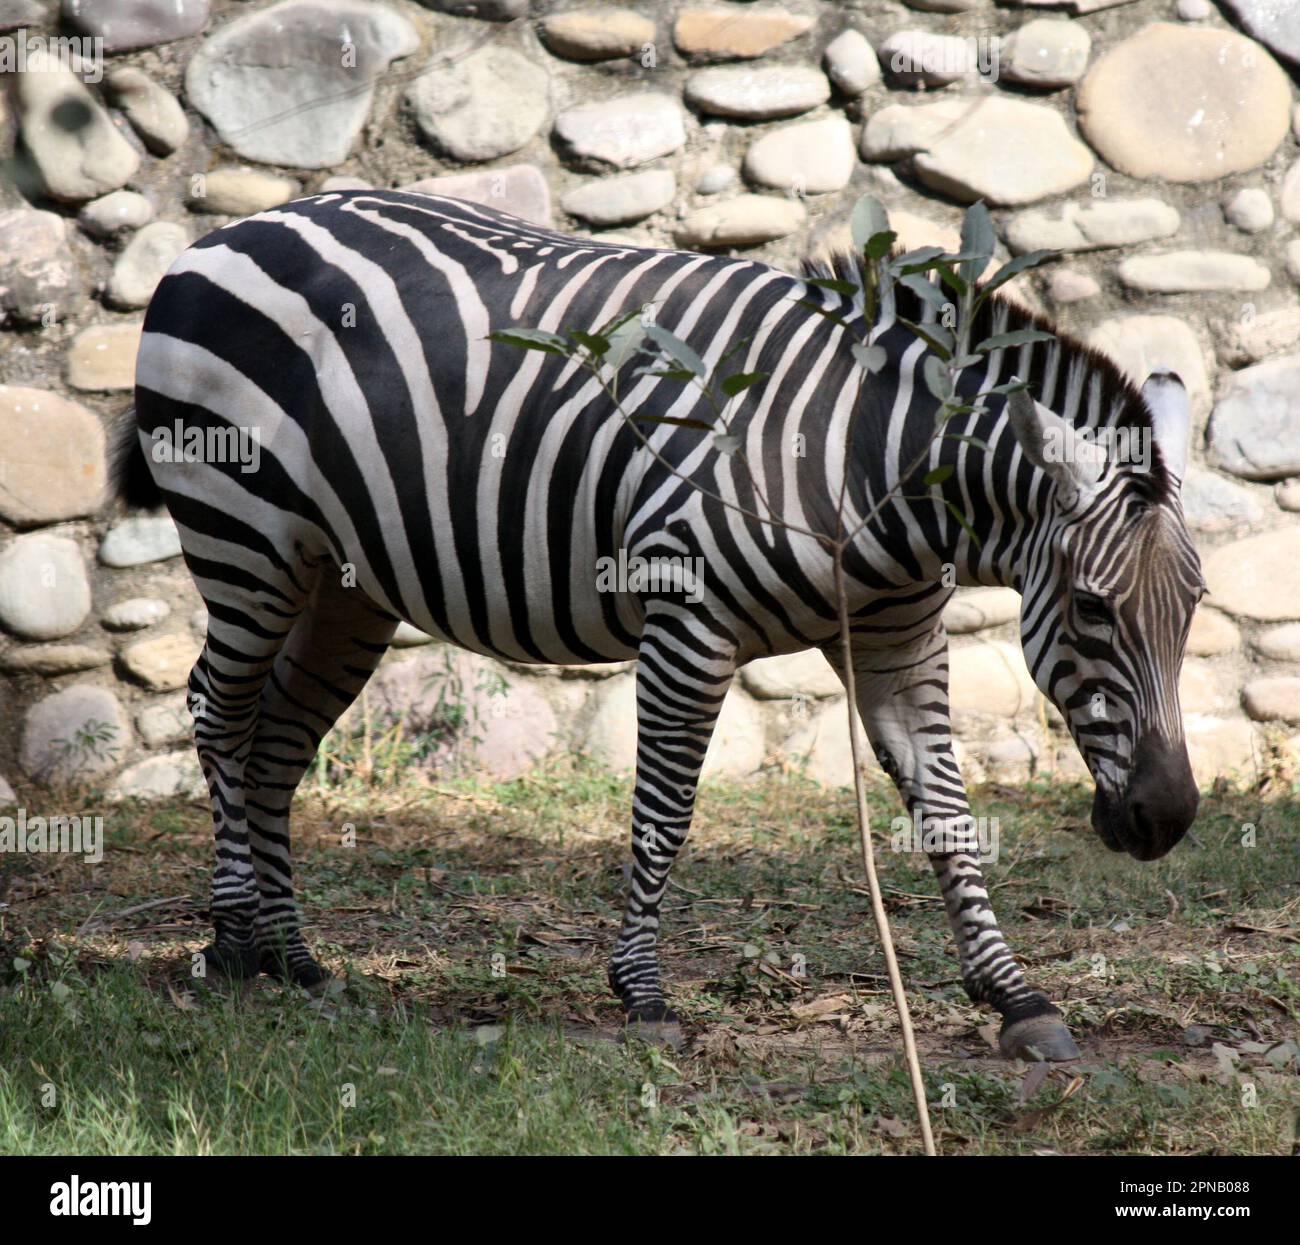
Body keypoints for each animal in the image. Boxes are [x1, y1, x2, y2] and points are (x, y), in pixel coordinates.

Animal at [116, 192, 1201, 1060]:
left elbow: (948, 815)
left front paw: (1015, 997)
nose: (1169, 818)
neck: (868, 462)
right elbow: (667, 810)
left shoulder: (899, 640)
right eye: (1094, 607)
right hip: (243, 535)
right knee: (217, 709)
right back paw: (232, 938)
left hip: (343, 583)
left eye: (1189, 608)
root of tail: (232, 228)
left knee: (276, 739)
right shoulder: (690, 625)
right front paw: (639, 989)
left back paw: (291, 954)